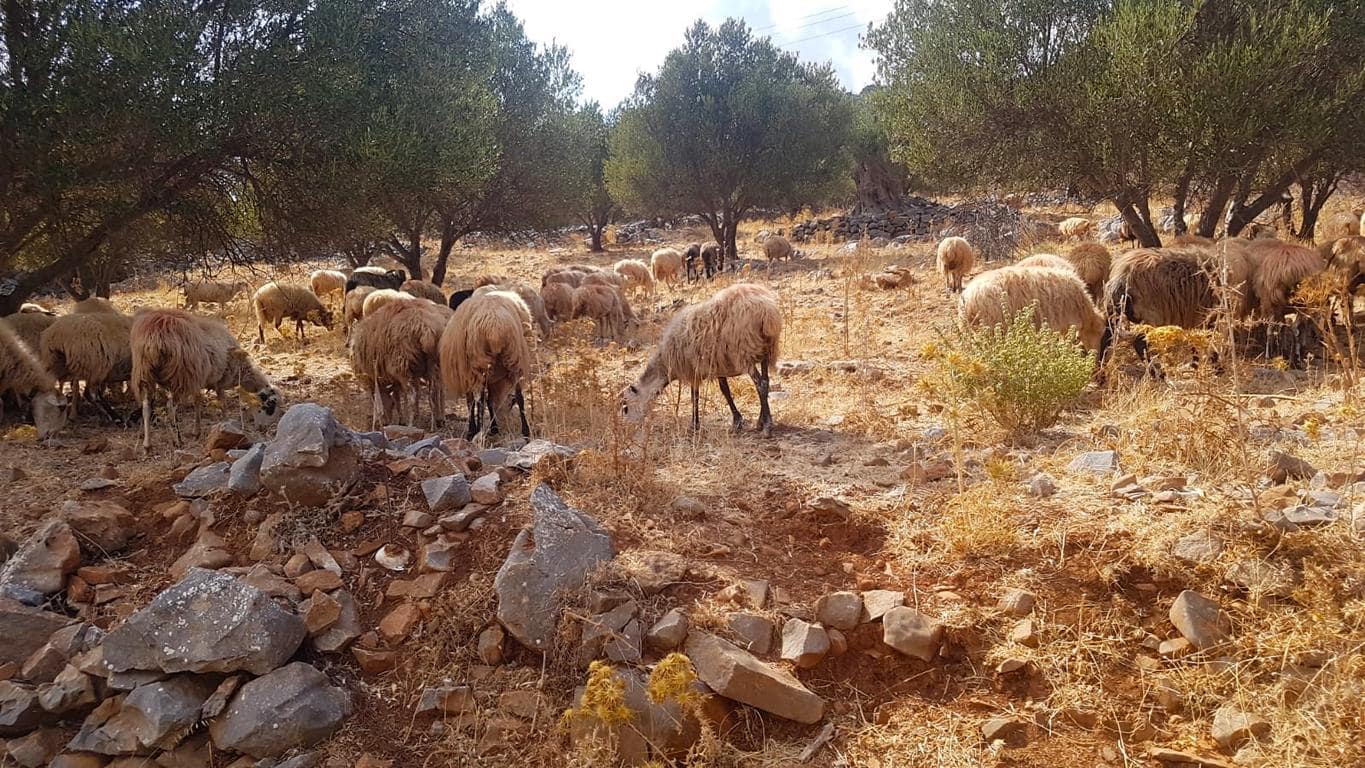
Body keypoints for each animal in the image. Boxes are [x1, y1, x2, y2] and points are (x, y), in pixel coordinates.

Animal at [131, 309, 277, 449]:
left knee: (146, 407)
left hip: (144, 373)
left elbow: (198, 401)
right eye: (271, 404)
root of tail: (157, 334)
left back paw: (147, 446)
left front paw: (197, 431)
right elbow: (222, 404)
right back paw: (177, 440)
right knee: (170, 407)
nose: (264, 428)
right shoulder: (218, 382)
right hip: (181, 377)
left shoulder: (198, 380)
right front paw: (226, 424)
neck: (242, 371)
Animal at [349, 298, 452, 430]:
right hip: (433, 364)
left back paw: (411, 425)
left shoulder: (373, 378)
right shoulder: (397, 377)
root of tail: (427, 329)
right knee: (433, 393)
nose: (386, 422)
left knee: (413, 395)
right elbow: (398, 396)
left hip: (404, 365)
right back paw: (434, 424)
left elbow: (382, 400)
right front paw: (403, 418)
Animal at [439, 290, 535, 440]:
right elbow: (491, 400)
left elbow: (472, 402)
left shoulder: (467, 375)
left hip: (481, 364)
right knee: (519, 396)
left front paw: (473, 430)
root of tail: (494, 326)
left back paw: (479, 431)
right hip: (514, 360)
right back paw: (525, 431)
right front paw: (493, 427)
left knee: (480, 400)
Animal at [620, 283, 781, 435]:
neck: (665, 364)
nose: (627, 428)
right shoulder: (717, 365)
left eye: (625, 407)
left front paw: (694, 424)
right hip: (766, 350)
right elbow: (725, 391)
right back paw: (761, 421)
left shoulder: (693, 369)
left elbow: (695, 396)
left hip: (745, 352)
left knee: (760, 384)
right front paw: (737, 421)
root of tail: (766, 310)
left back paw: (767, 427)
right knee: (766, 382)